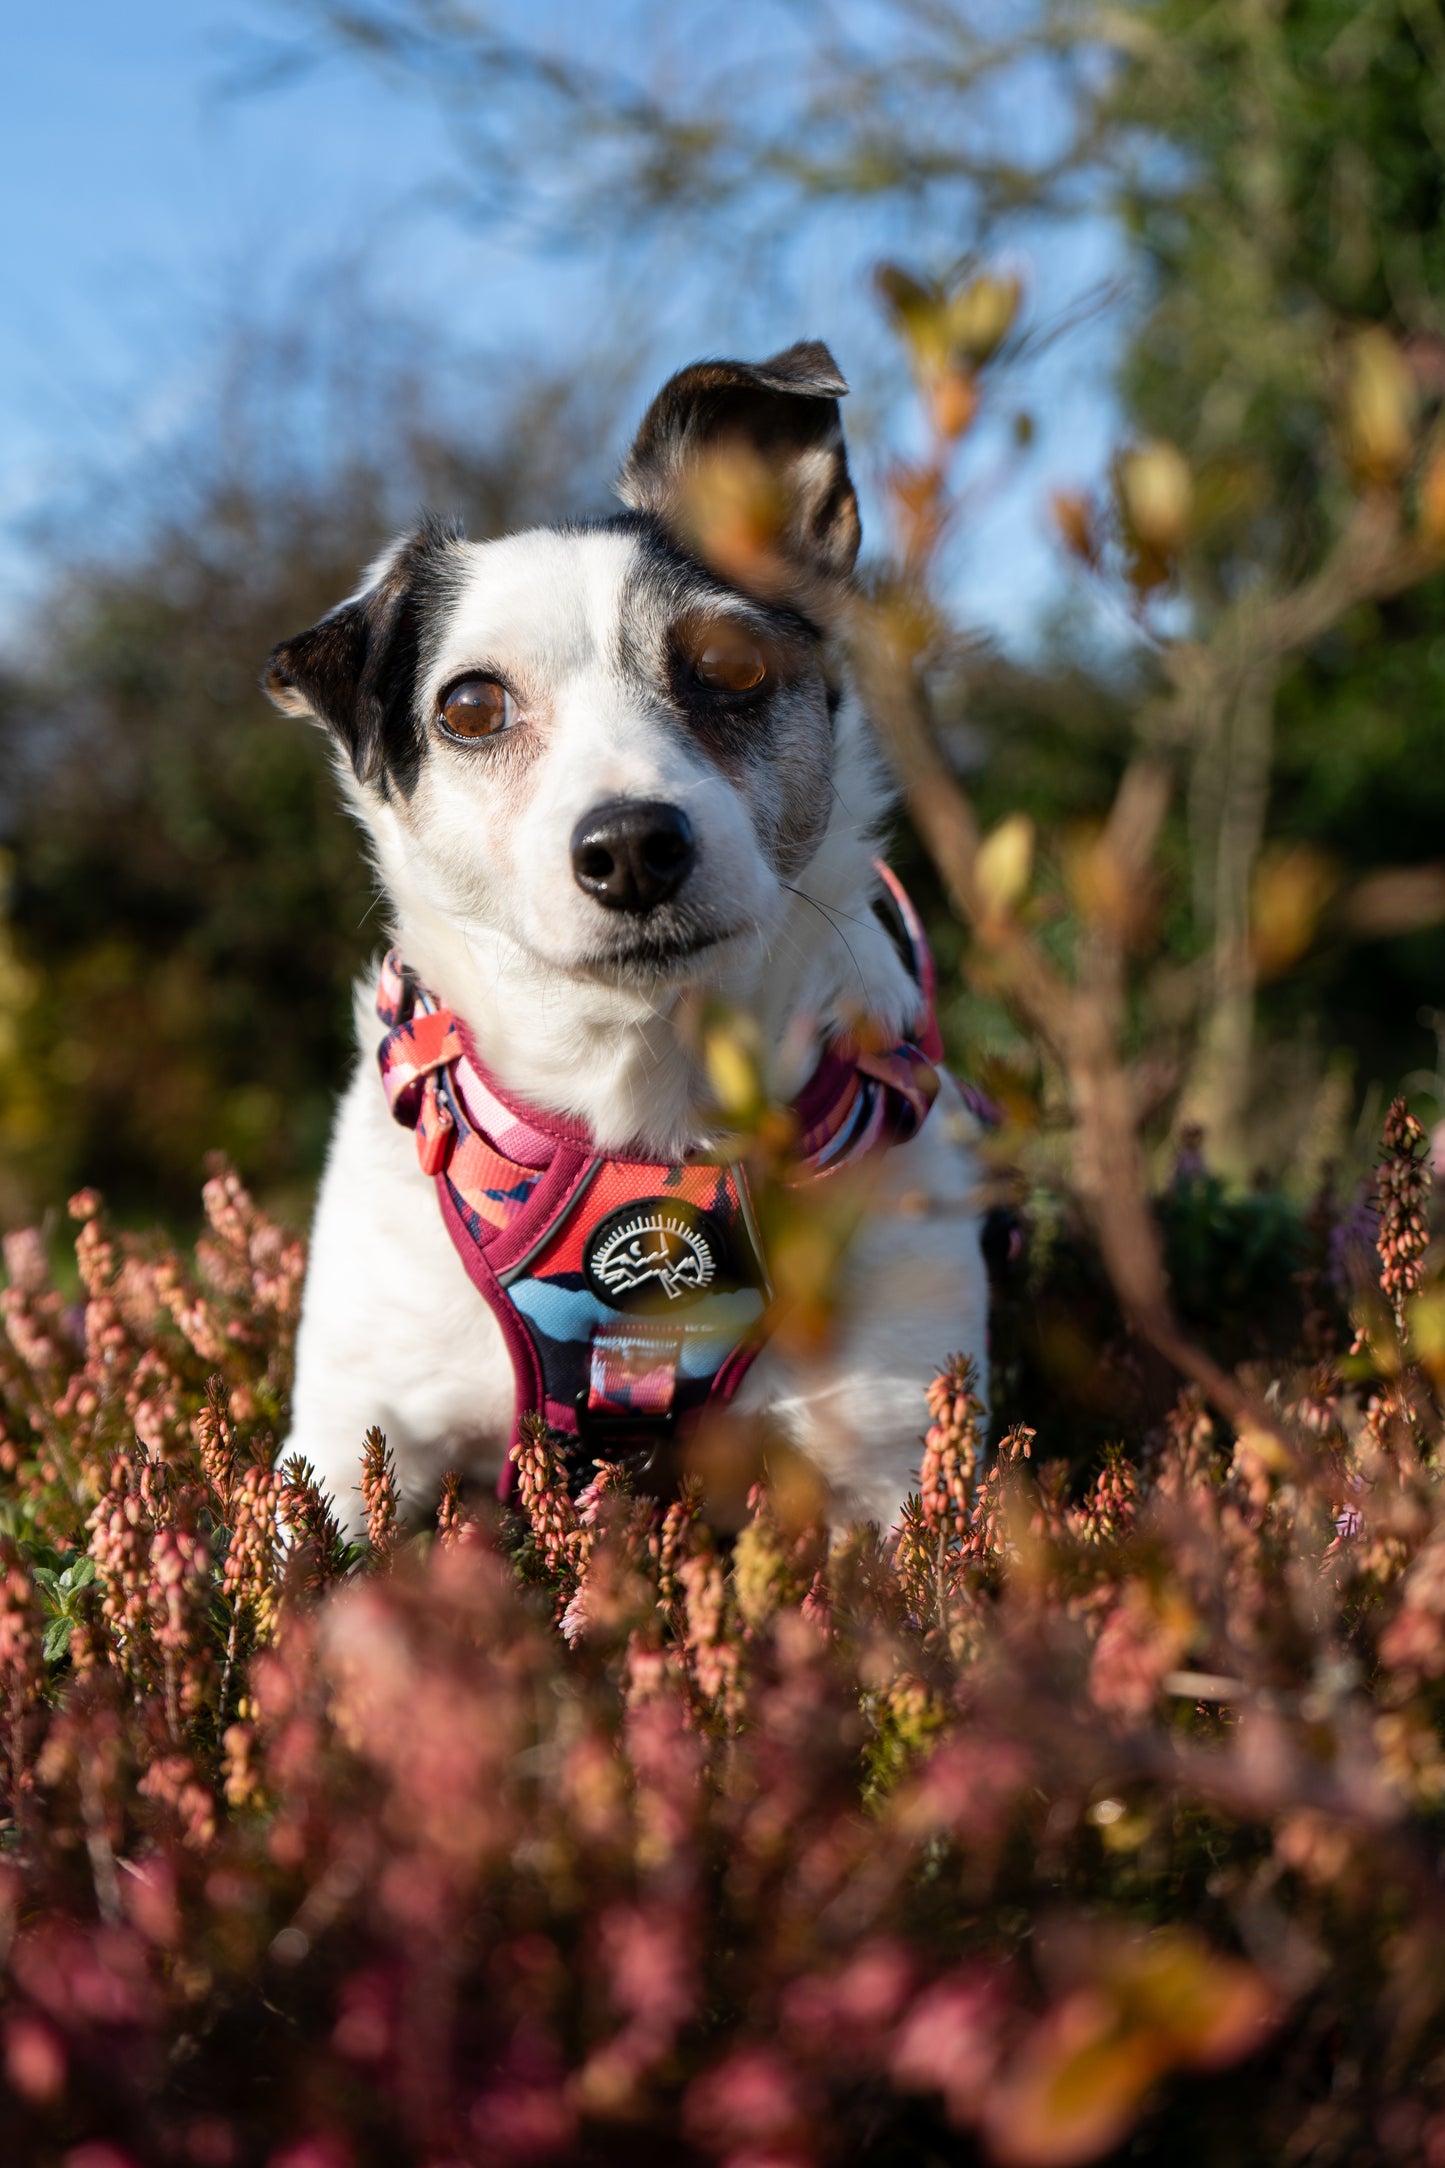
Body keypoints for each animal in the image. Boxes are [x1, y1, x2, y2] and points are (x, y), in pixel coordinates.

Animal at [265, 342, 987, 1543]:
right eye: (469, 707)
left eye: (732, 666)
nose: (634, 846)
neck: (640, 1095)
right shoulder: (349, 1434)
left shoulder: (896, 1465)